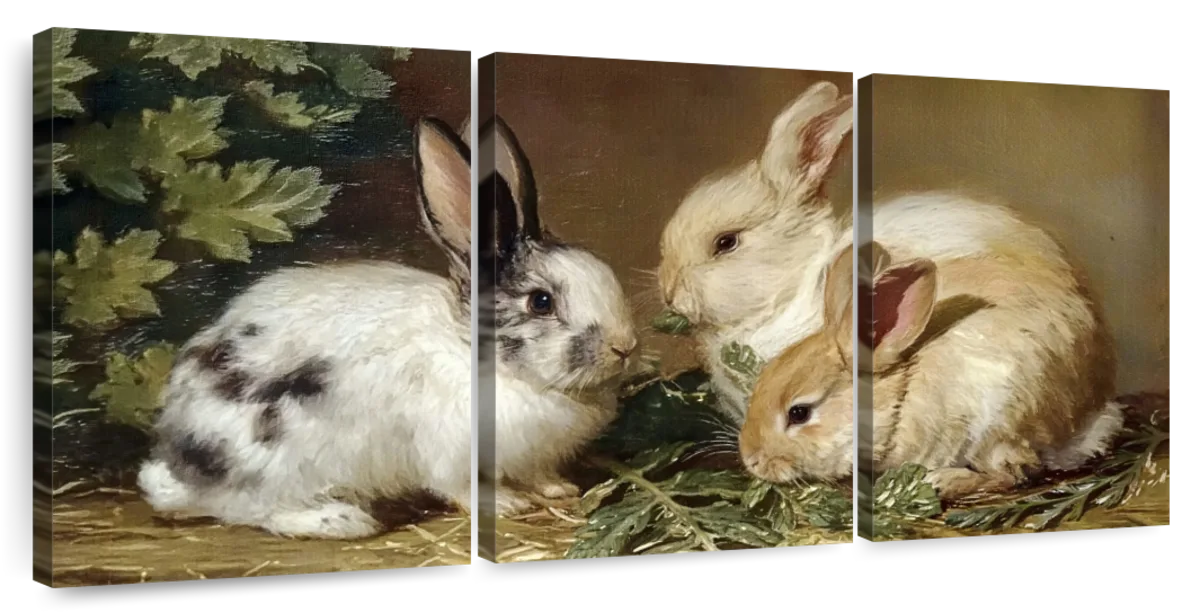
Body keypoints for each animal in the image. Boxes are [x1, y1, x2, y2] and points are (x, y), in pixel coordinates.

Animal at [740, 235, 1126, 502]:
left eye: (799, 413)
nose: (751, 460)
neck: (899, 393)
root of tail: (1091, 414)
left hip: (997, 425)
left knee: (1012, 474)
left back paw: (941, 481)